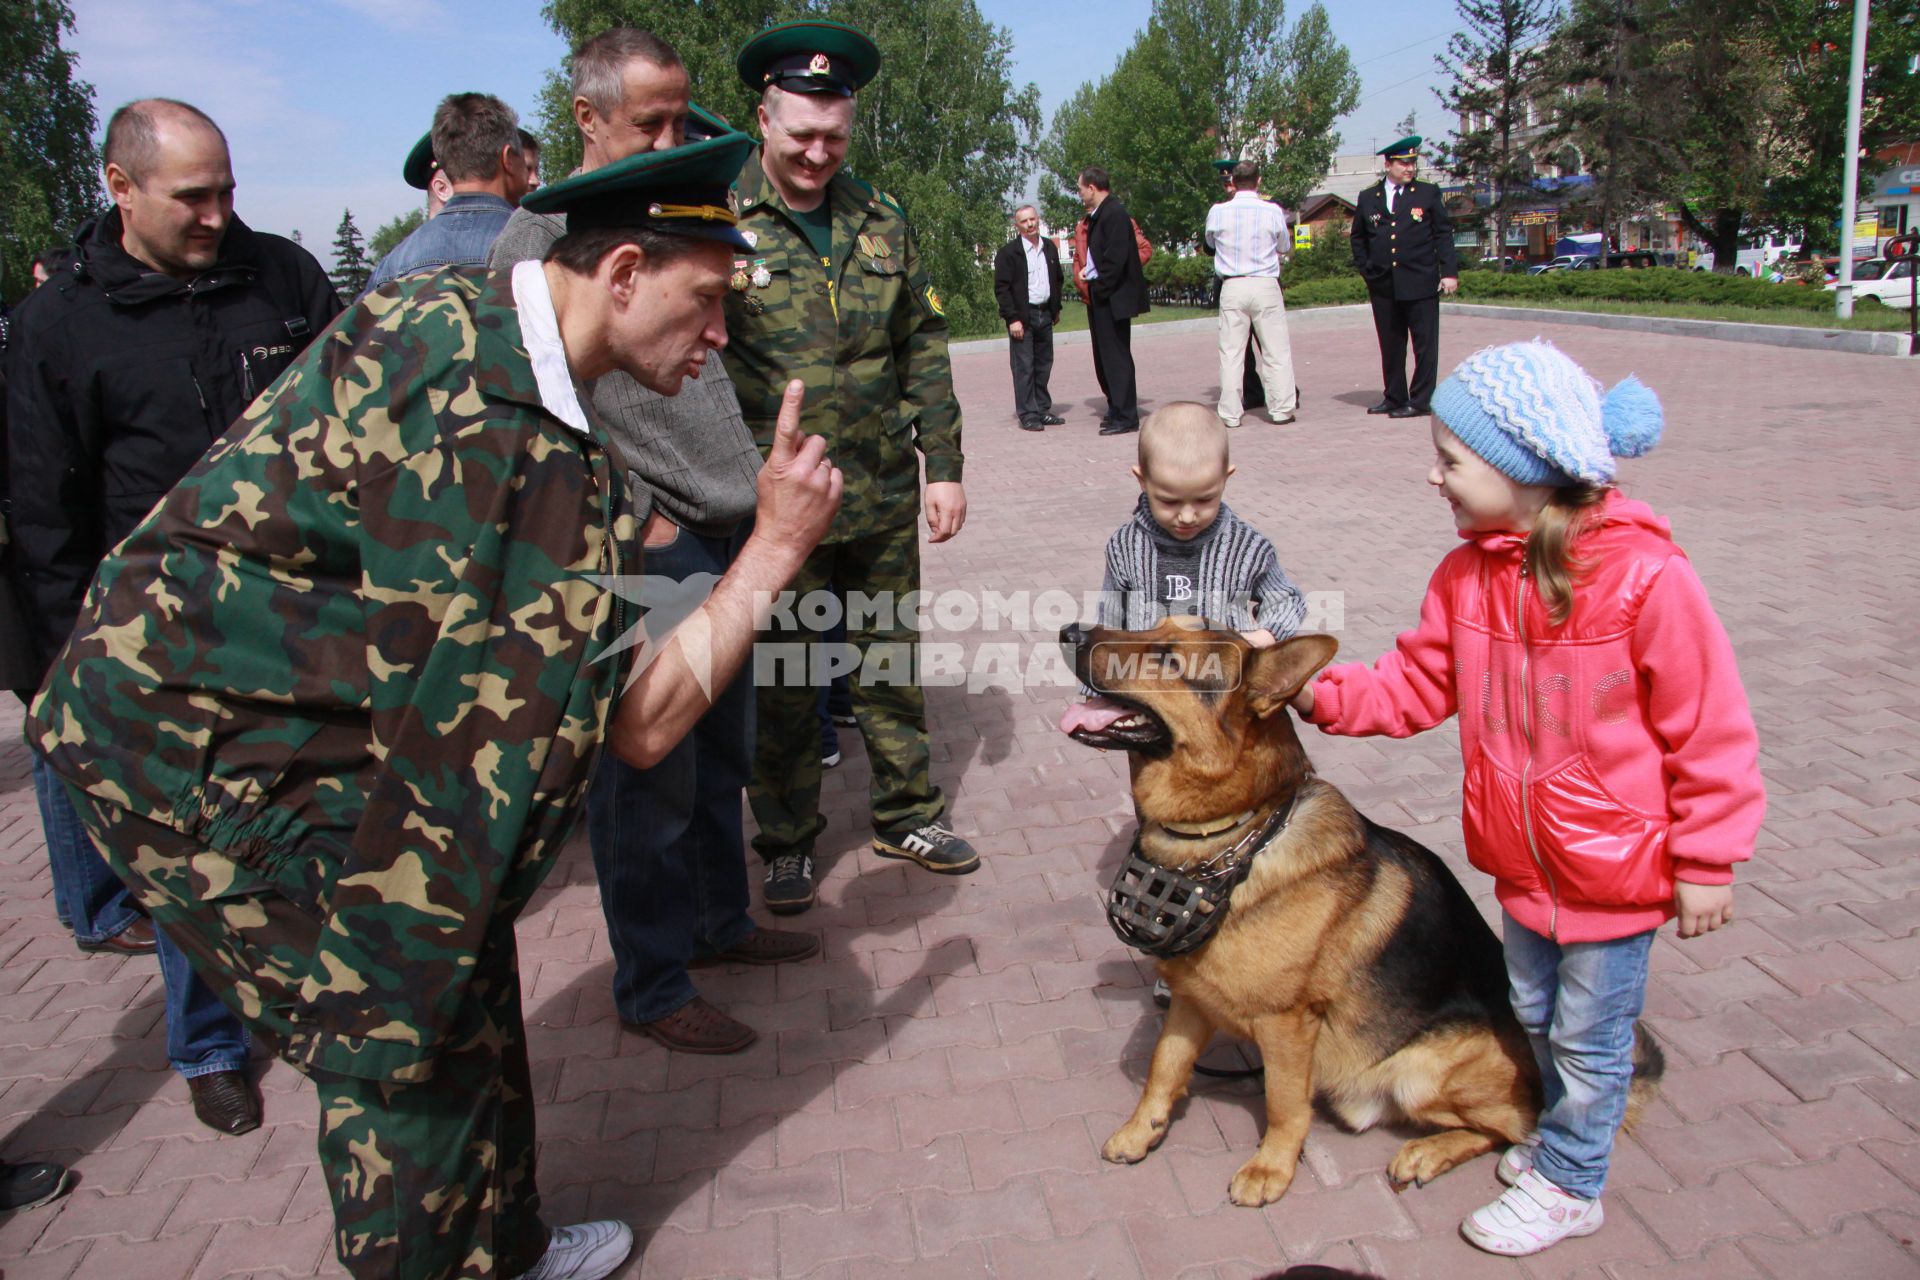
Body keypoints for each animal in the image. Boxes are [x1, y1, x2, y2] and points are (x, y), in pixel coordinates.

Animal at [1059, 621, 1658, 1212]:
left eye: (1167, 656)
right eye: (1151, 626)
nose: (1070, 630)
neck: (1233, 840)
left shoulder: (1287, 1025)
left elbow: (1282, 1103)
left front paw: (1271, 1168)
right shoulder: (1189, 1001)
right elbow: (1162, 1071)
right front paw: (1142, 1131)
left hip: (1423, 1070)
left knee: (1516, 1127)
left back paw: (1428, 1153)